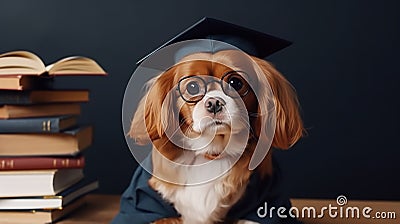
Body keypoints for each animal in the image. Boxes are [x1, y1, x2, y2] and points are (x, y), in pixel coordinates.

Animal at [128, 49, 304, 224]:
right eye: (192, 87)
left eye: (236, 83)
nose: (214, 103)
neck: (212, 152)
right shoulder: (146, 201)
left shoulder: (266, 201)